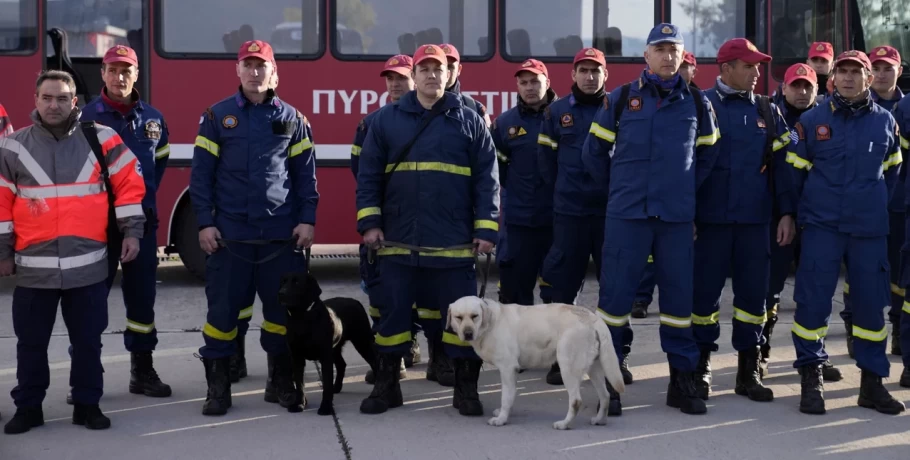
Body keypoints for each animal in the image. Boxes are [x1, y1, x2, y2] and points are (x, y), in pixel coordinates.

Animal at [278, 272, 378, 416]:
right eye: (283, 282)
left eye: (297, 282)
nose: (281, 293)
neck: (302, 318)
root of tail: (355, 301)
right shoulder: (296, 357)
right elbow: (300, 385)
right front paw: (298, 404)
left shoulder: (325, 357)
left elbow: (326, 384)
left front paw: (325, 407)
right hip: (336, 348)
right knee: (342, 364)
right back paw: (337, 387)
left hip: (362, 341)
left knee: (375, 362)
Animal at [448, 296, 628, 430]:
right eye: (458, 317)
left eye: (474, 316)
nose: (468, 333)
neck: (490, 322)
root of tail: (593, 317)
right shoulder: (513, 371)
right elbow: (511, 394)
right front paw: (504, 414)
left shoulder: (507, 368)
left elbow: (506, 396)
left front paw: (501, 419)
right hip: (594, 368)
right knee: (605, 395)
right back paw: (600, 420)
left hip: (567, 367)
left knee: (576, 400)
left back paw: (564, 424)